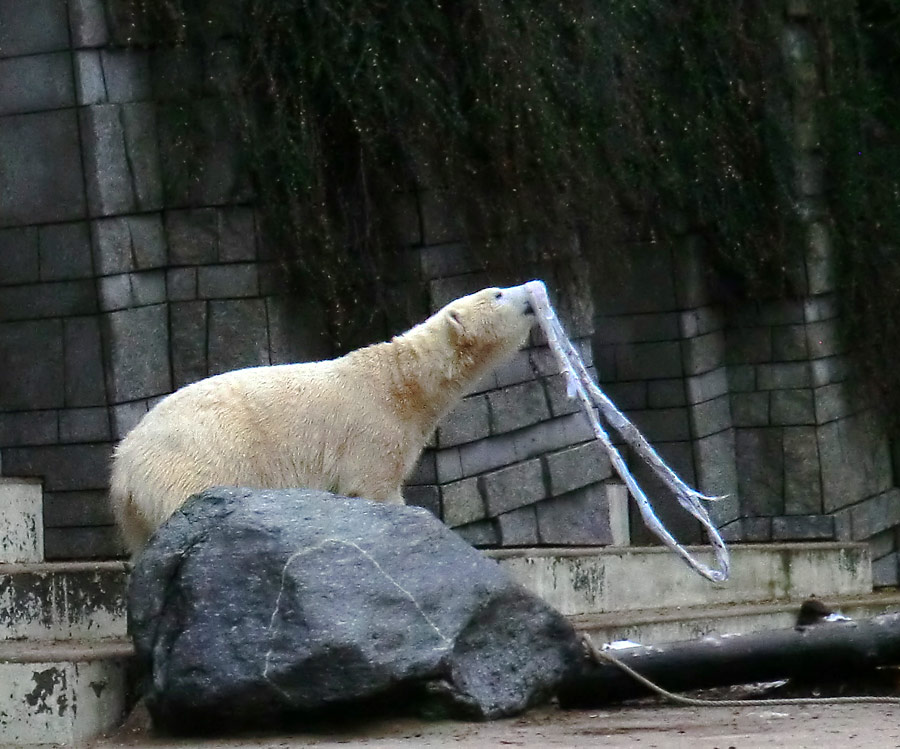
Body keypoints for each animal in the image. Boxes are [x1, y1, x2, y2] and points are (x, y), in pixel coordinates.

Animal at [110, 284, 536, 552]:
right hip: (193, 461)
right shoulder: (373, 429)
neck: (401, 382)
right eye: (498, 292)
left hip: (135, 516)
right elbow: (374, 487)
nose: (532, 291)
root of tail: (123, 465)